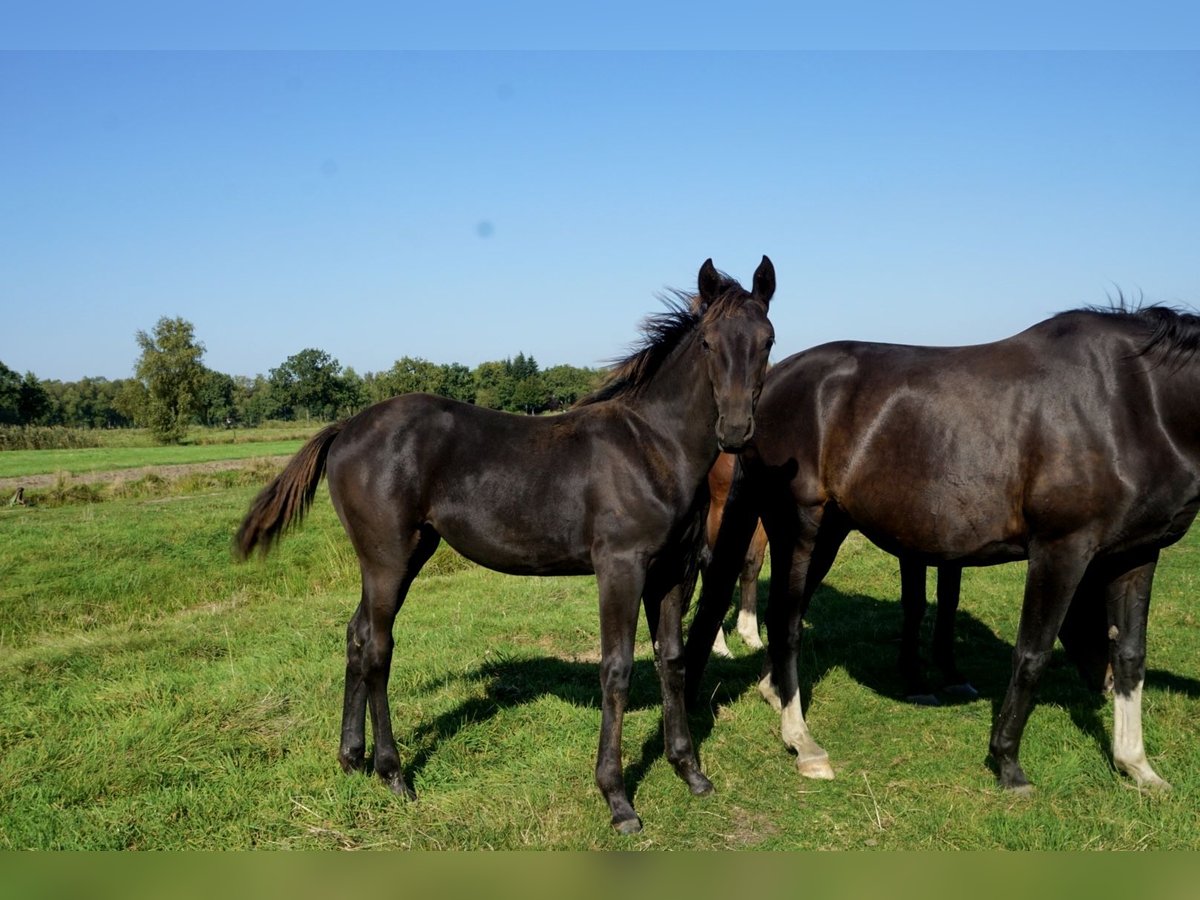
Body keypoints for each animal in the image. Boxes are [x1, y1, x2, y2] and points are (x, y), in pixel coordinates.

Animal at [234, 256, 777, 835]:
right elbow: (617, 669)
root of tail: (346, 427)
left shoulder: (673, 570)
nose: (736, 430)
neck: (653, 446)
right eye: (708, 343)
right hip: (387, 558)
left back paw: (351, 758)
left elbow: (670, 661)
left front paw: (689, 771)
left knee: (357, 636)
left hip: (405, 555)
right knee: (378, 648)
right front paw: (618, 799)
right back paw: (394, 774)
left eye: (767, 340)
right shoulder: (621, 568)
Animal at [686, 307, 1200, 792]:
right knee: (785, 621)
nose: (1104, 683)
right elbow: (1031, 654)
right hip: (799, 525)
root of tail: (770, 384)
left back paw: (774, 694)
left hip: (828, 529)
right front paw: (1008, 763)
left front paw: (1137, 766)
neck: (1131, 400)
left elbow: (1132, 654)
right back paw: (802, 742)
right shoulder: (1061, 550)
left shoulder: (1135, 555)